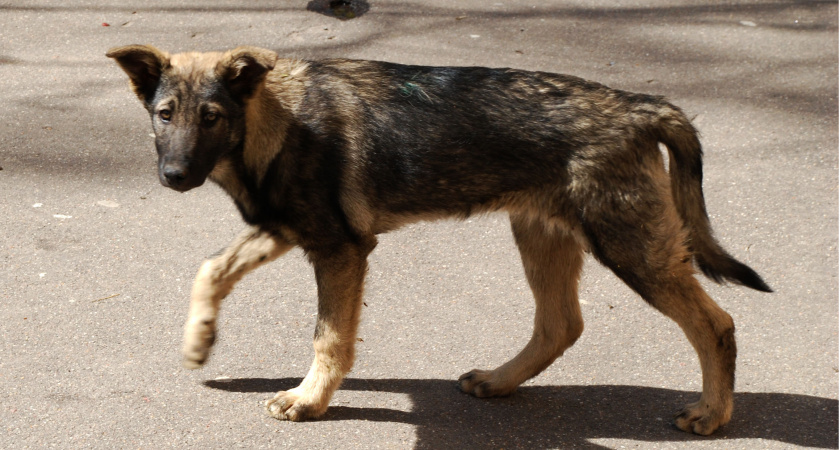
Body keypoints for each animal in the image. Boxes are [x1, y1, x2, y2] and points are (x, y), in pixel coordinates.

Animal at [105, 45, 768, 436]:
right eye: (165, 114)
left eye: (211, 117)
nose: (174, 176)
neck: (275, 118)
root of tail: (640, 106)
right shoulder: (289, 229)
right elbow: (212, 268)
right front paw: (199, 341)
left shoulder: (340, 249)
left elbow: (329, 338)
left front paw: (308, 400)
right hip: (543, 236)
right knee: (561, 324)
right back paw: (499, 381)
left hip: (630, 247)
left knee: (716, 325)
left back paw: (712, 413)